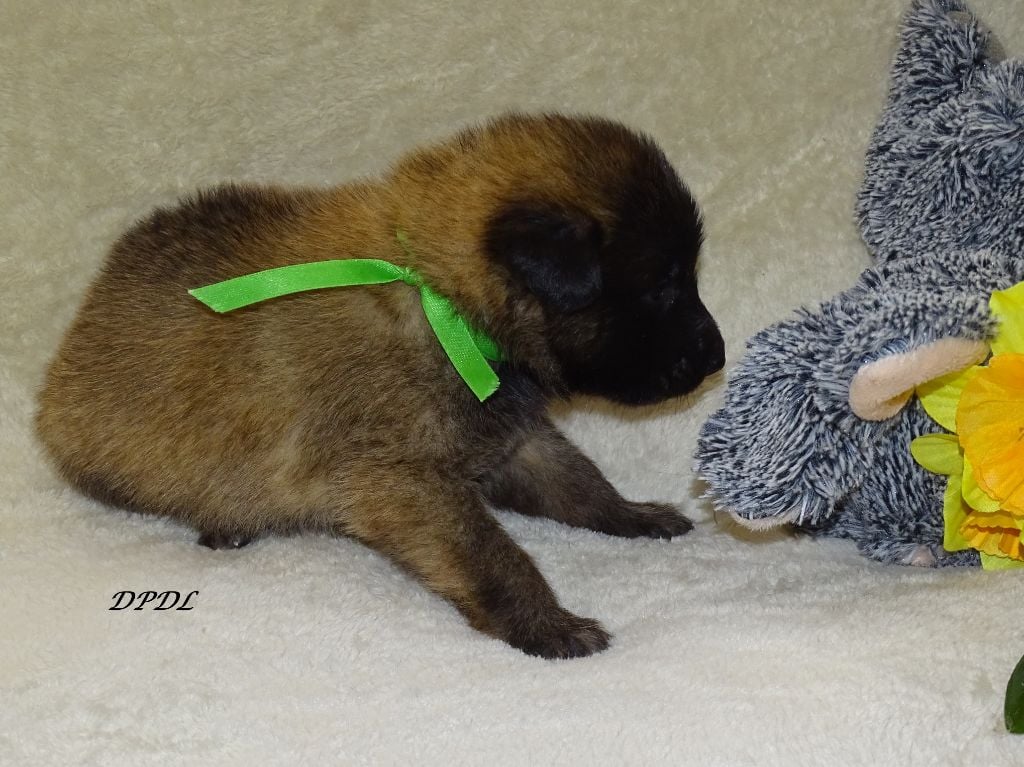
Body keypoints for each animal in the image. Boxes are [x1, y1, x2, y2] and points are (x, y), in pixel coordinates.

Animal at [36, 113, 724, 658]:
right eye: (663, 285)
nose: (718, 357)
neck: (442, 299)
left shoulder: (517, 439)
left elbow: (578, 483)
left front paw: (635, 515)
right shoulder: (405, 482)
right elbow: (494, 556)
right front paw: (547, 624)